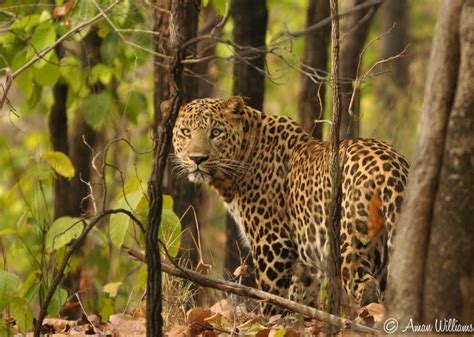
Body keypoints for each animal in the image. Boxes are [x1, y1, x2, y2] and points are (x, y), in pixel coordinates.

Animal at [172, 96, 410, 314]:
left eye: (216, 132)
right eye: (186, 132)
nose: (197, 159)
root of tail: (391, 167)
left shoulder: (273, 246)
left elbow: (272, 298)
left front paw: (271, 320)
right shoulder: (308, 263)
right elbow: (301, 297)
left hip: (352, 242)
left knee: (365, 288)